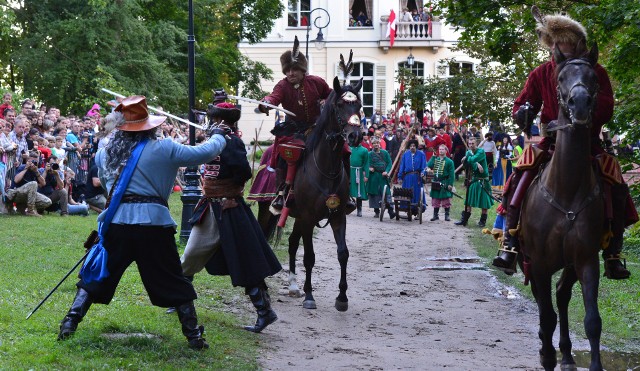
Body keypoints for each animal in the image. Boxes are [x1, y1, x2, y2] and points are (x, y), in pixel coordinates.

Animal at [286, 69, 364, 310]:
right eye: (339, 105)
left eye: (359, 105)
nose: (355, 136)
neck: (325, 168)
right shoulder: (308, 218)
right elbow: (309, 256)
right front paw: (309, 296)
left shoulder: (338, 215)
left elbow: (343, 253)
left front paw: (342, 297)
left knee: (292, 243)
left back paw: (293, 286)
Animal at [520, 44, 604, 371]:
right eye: (561, 79)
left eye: (593, 78)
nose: (579, 103)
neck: (566, 192)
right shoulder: (539, 263)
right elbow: (546, 316)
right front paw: (546, 354)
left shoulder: (586, 259)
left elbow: (592, 321)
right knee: (550, 304)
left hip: (569, 265)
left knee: (563, 294)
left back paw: (567, 355)